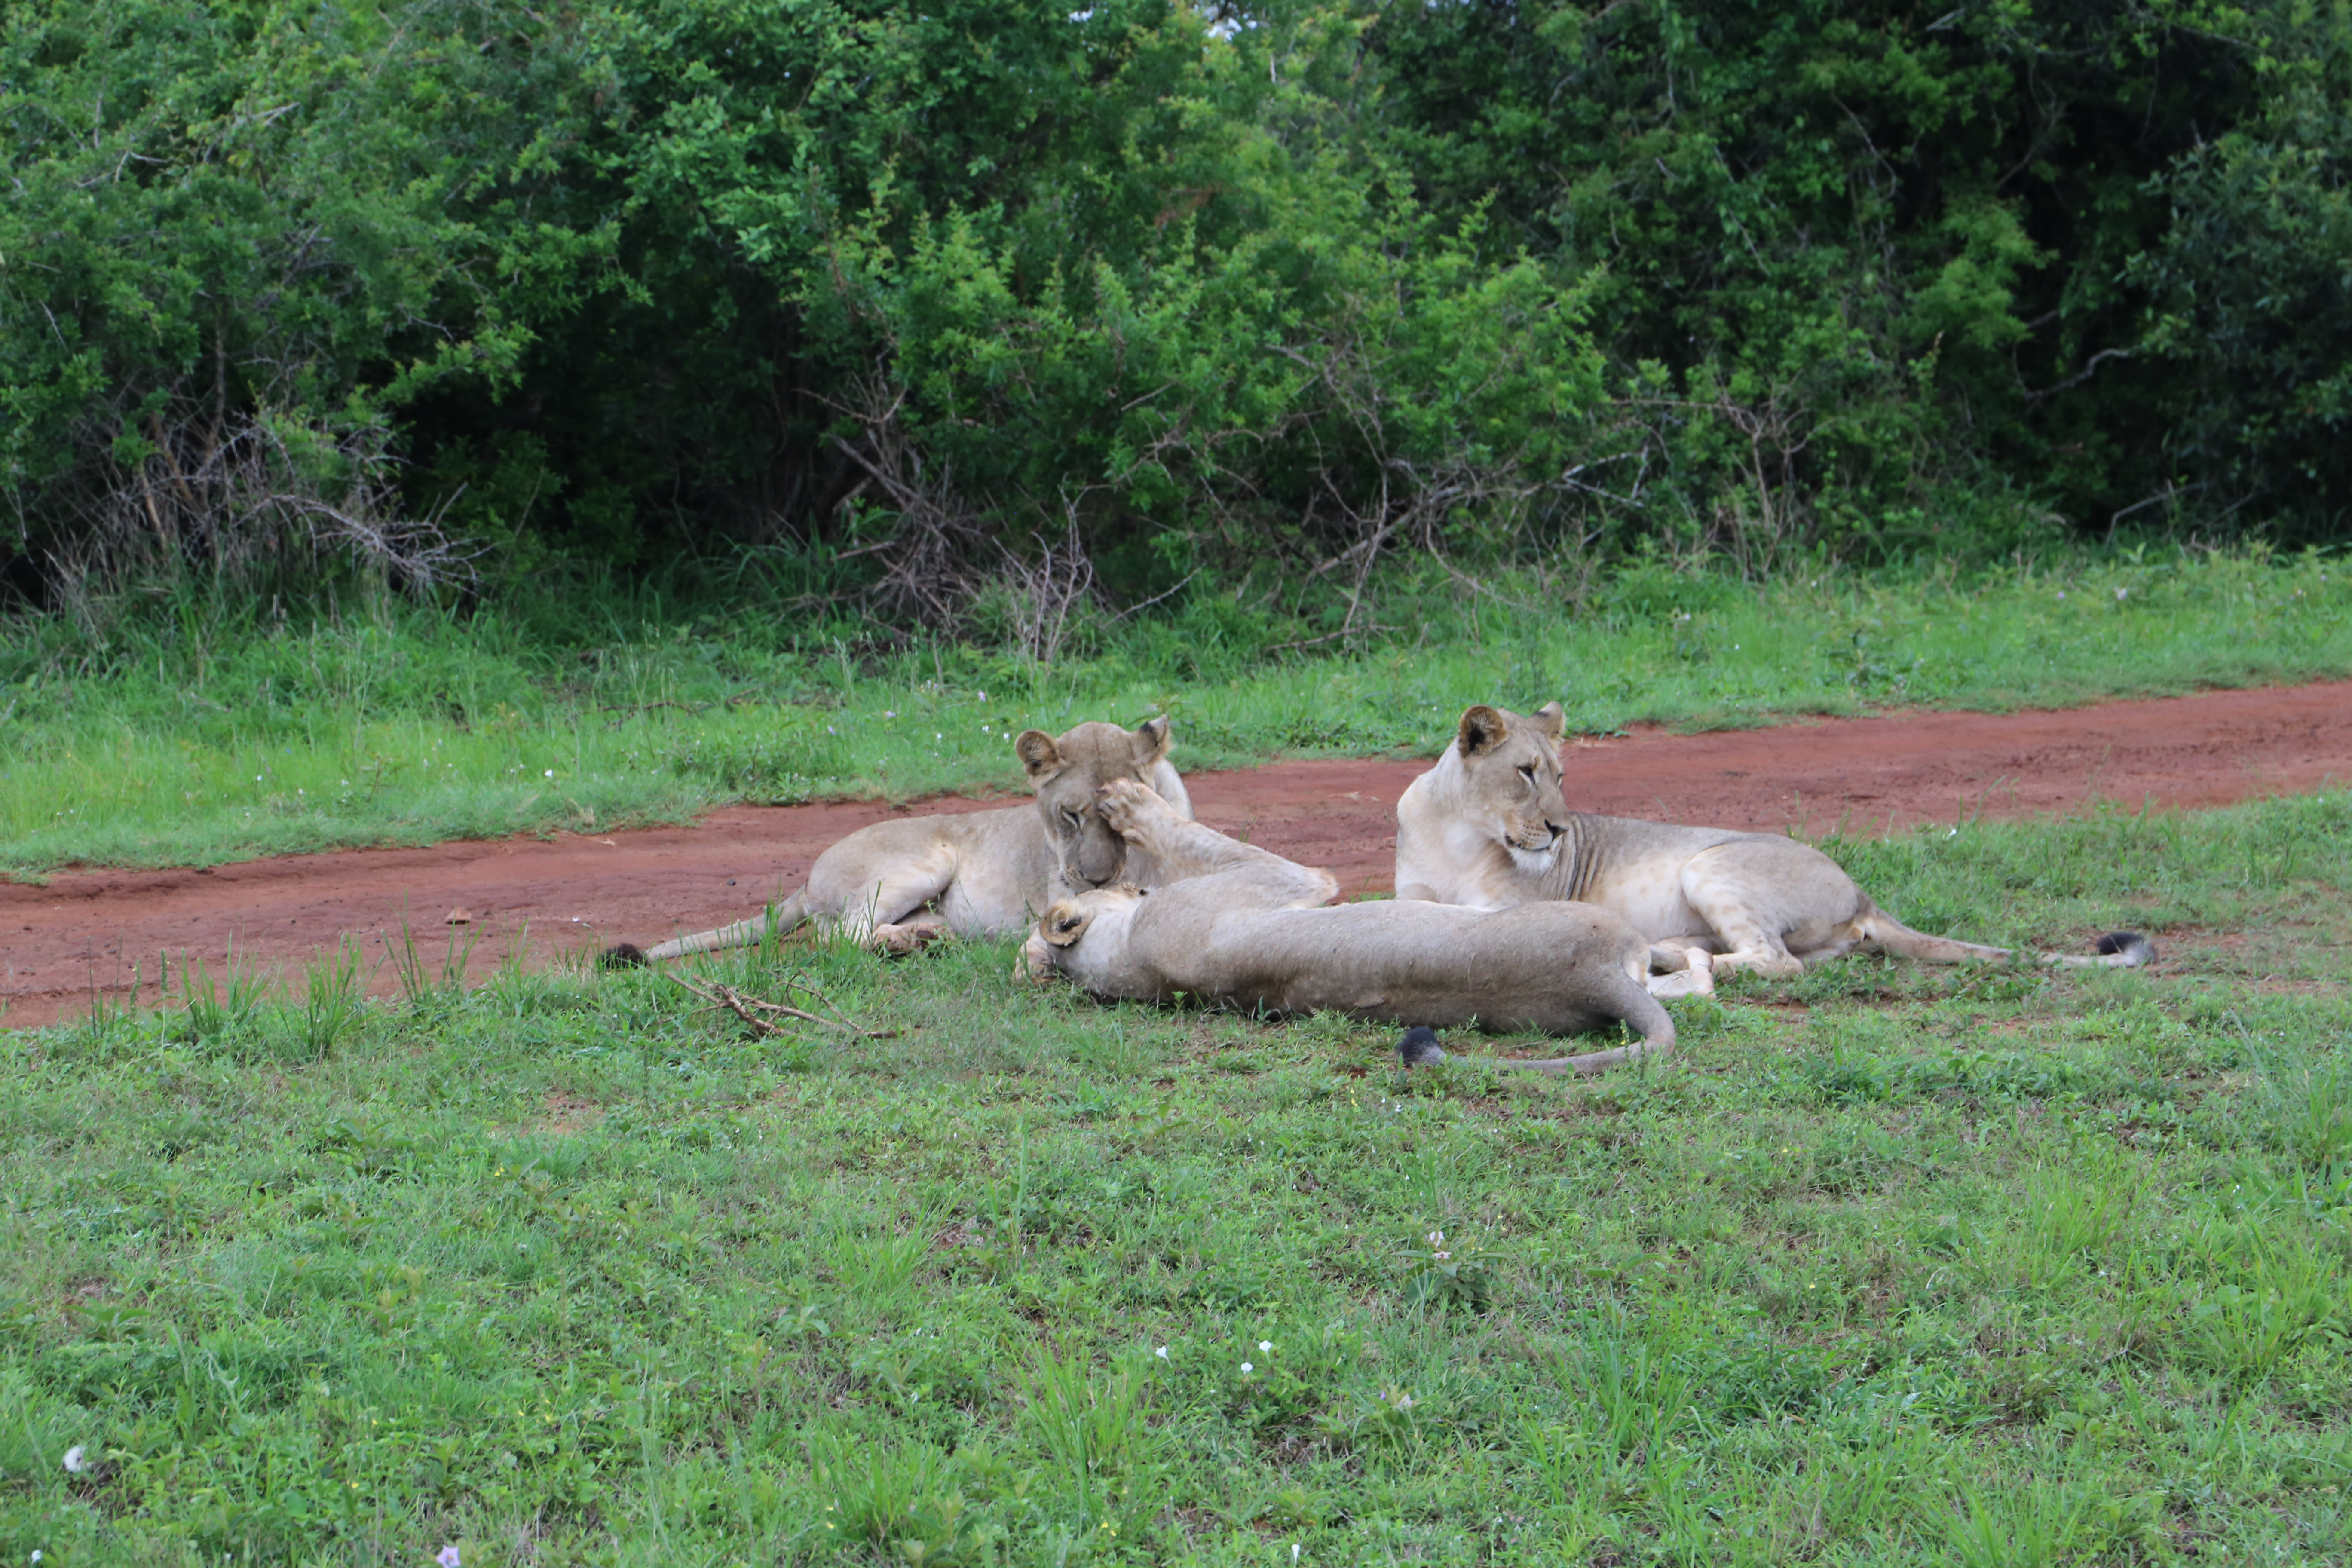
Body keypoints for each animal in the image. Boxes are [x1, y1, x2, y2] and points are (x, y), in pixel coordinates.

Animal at [603, 718, 1194, 963]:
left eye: (1116, 819)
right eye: (1070, 816)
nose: (1096, 877)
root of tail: (807, 878)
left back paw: (926, 938)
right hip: (924, 863)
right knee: (835, 935)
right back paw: (904, 945)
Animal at [1020, 780, 1675, 1074]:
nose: (1132, 884)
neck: (1129, 950)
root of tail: (1597, 978)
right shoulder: (1290, 878)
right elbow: (1200, 838)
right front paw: (1131, 802)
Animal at [1394, 702, 2156, 980]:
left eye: (1561, 777)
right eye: (1526, 773)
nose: (1555, 829)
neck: (1460, 829)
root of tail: (1862, 892)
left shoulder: (1513, 907)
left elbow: (1456, 916)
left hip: (1713, 866)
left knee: (1775, 962)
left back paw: (1677, 962)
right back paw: (1670, 953)